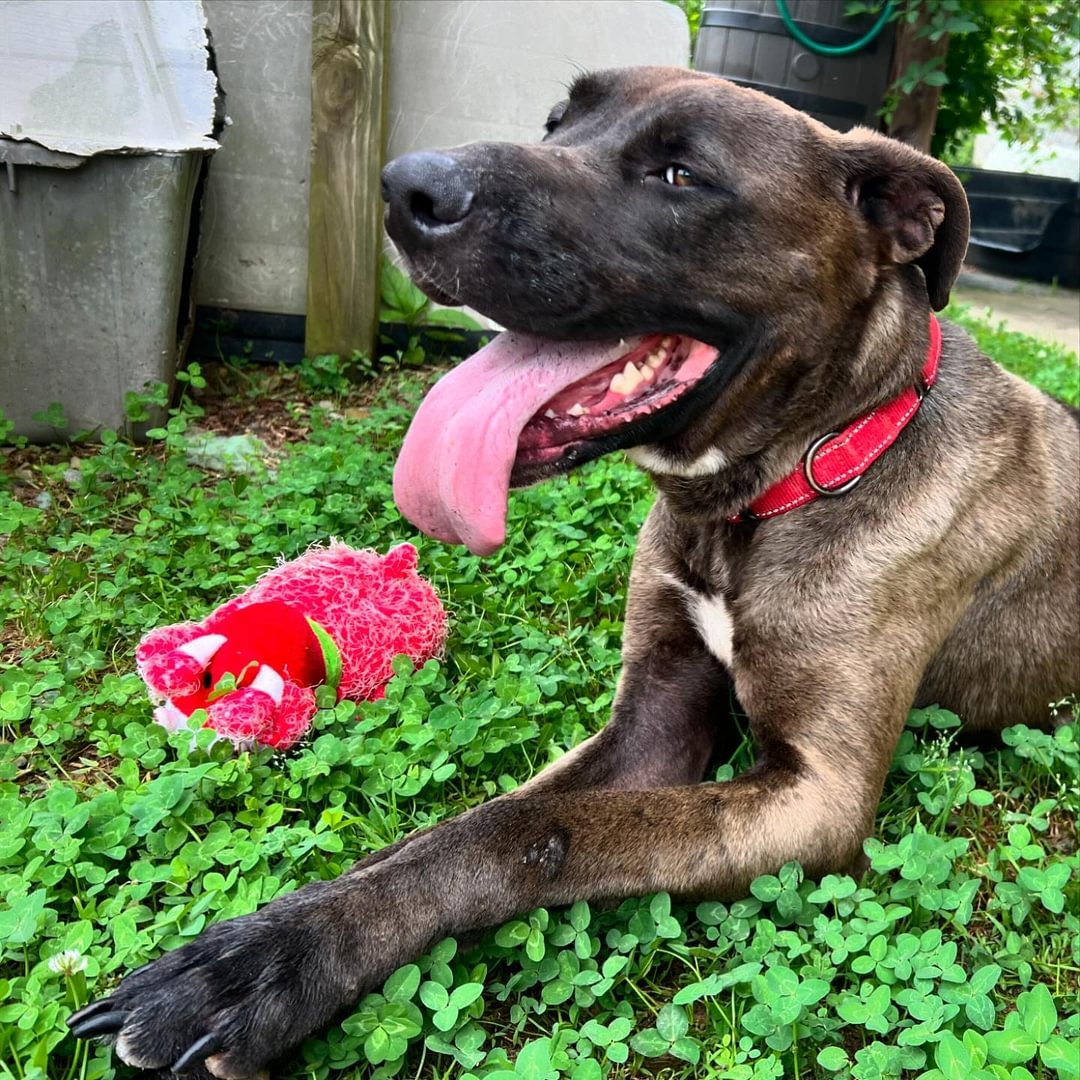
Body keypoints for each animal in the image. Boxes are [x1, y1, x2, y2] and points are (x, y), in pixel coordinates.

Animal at [71, 67, 1075, 1080]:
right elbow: (468, 823)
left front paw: (269, 969)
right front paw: (271, 938)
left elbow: (531, 834)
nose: (405, 188)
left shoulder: (814, 795)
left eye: (680, 173)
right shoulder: (652, 720)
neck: (805, 465)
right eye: (558, 123)